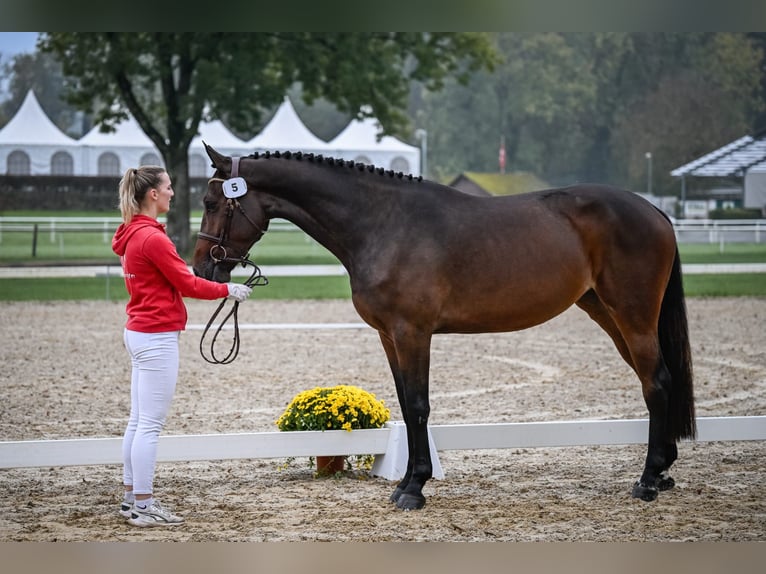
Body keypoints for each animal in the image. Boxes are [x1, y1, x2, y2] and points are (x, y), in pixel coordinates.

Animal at [192, 144, 696, 512]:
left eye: (212, 201)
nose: (203, 269)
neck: (384, 224)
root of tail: (655, 212)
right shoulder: (389, 336)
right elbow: (405, 403)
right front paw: (405, 482)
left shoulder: (412, 332)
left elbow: (418, 406)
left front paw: (414, 488)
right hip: (607, 313)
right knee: (658, 380)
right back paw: (664, 470)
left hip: (631, 314)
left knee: (655, 382)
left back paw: (647, 480)